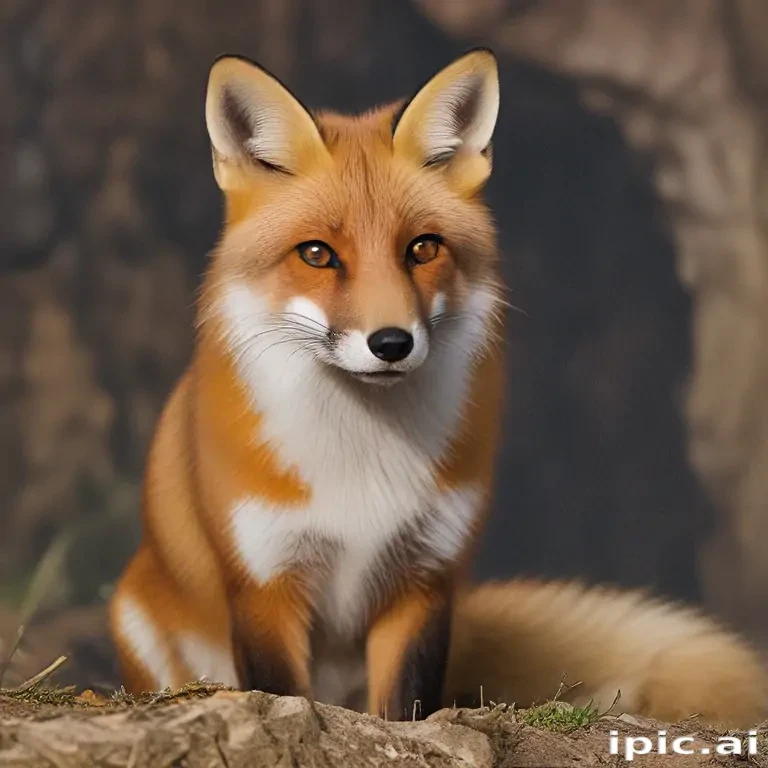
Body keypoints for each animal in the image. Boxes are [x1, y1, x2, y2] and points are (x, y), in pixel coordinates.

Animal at [109, 49, 768, 728]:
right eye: (317, 254)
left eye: (422, 248)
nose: (391, 343)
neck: (360, 461)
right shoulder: (265, 585)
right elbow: (284, 692)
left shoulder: (425, 581)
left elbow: (406, 712)